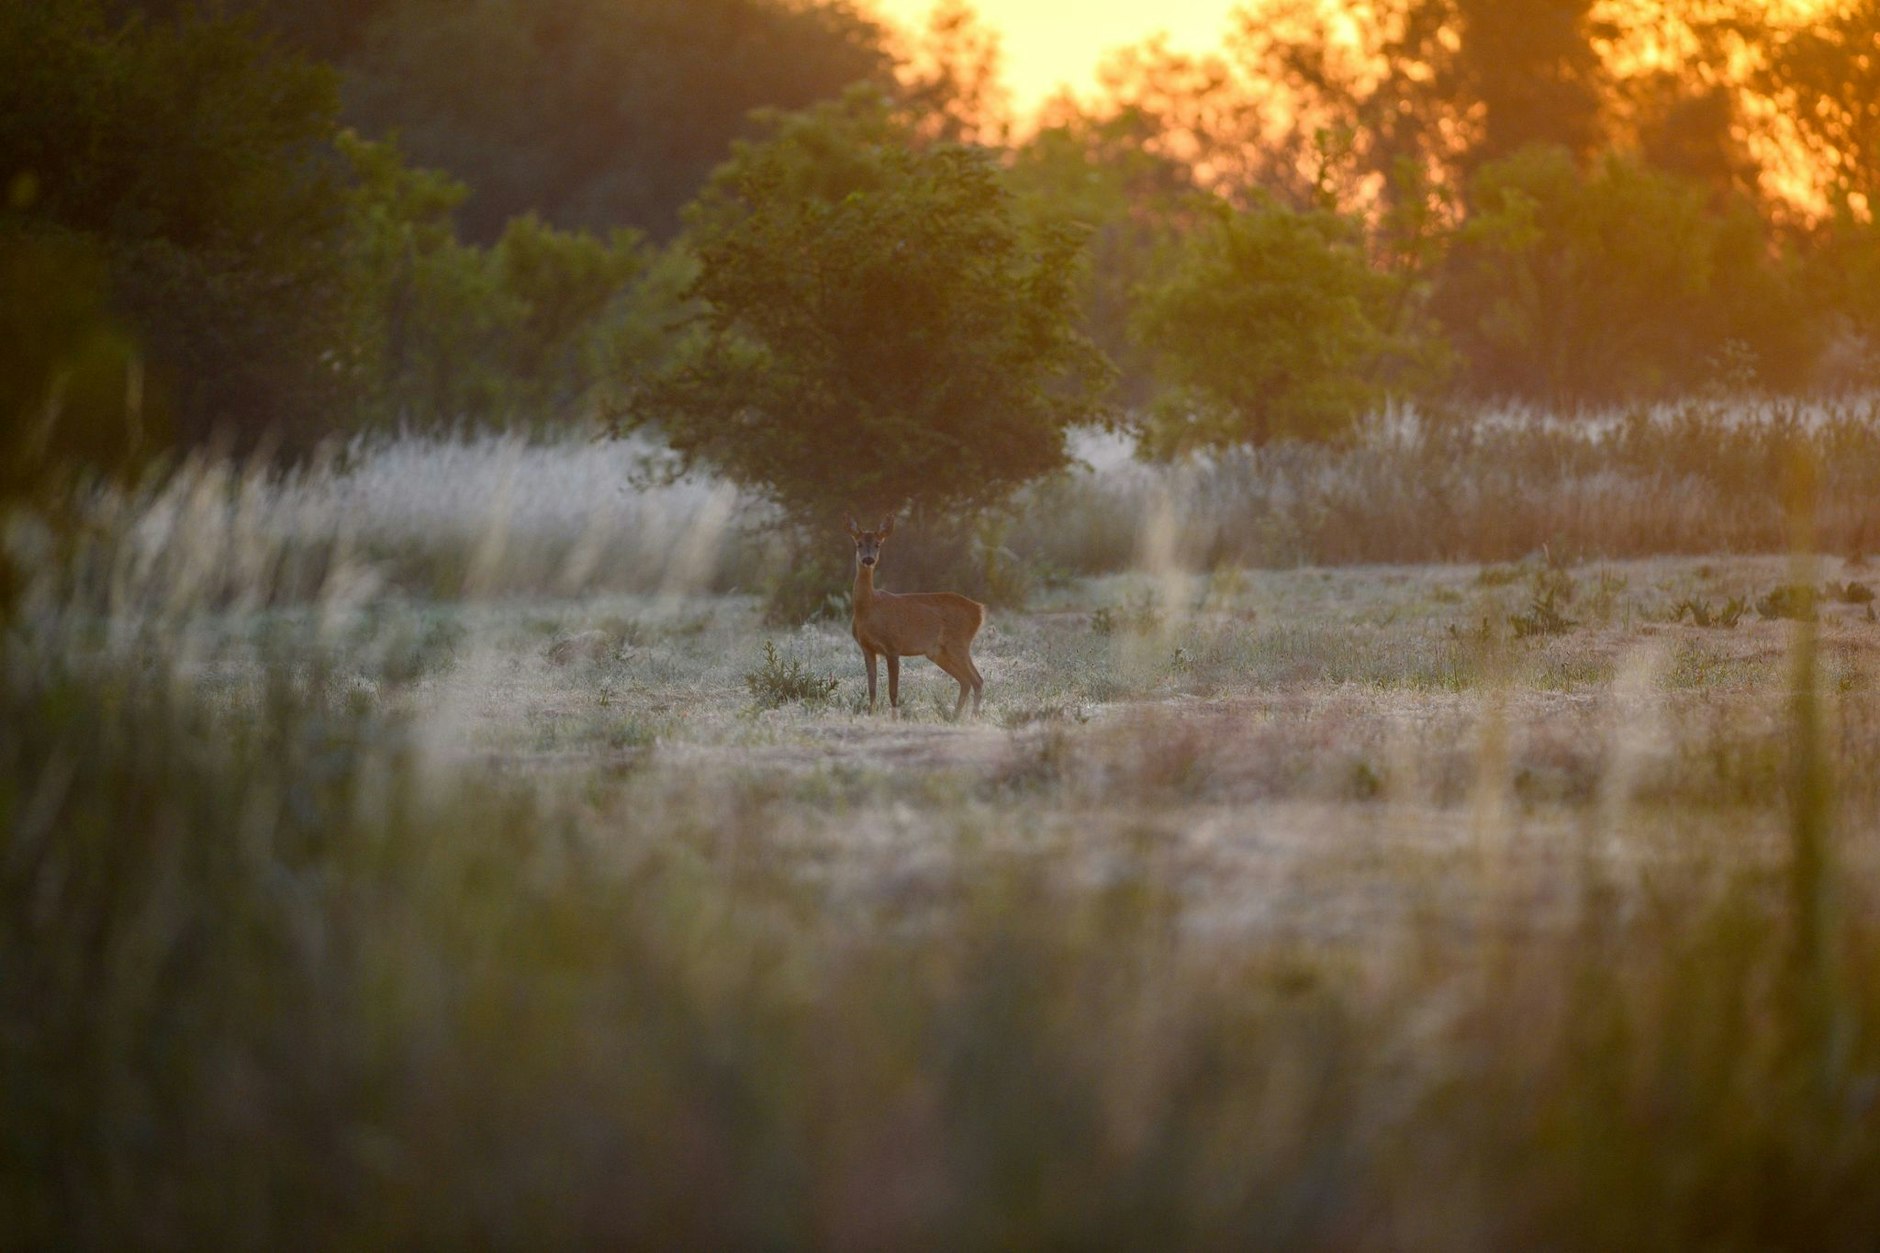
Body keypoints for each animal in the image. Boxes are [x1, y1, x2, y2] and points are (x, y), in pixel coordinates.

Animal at [845, 514, 985, 718]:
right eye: (859, 543)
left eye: (878, 544)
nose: (868, 559)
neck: (869, 608)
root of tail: (979, 610)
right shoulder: (867, 648)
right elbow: (872, 688)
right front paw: (871, 714)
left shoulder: (893, 646)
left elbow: (893, 691)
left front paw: (894, 718)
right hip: (938, 652)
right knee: (966, 680)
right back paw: (955, 717)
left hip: (959, 643)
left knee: (977, 679)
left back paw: (971, 717)